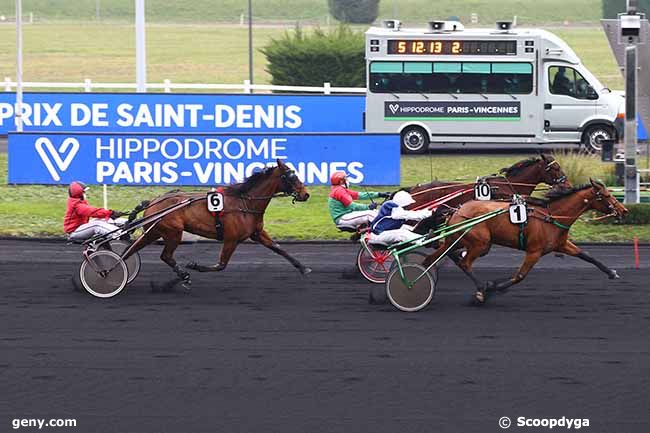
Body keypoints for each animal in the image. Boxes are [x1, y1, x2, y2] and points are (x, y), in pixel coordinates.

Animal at [124, 159, 314, 286]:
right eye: (291, 177)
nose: (305, 194)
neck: (245, 203)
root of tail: (152, 202)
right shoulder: (231, 238)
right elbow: (221, 265)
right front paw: (195, 266)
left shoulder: (257, 233)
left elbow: (278, 248)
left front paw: (303, 268)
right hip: (173, 232)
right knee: (166, 256)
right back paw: (183, 274)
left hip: (154, 232)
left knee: (131, 250)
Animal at [420, 178, 628, 304]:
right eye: (607, 196)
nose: (624, 210)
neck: (551, 216)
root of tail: (455, 210)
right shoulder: (534, 251)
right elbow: (520, 276)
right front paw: (494, 287)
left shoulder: (561, 244)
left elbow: (587, 256)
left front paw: (612, 272)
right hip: (481, 243)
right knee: (464, 262)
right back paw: (480, 290)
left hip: (457, 240)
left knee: (433, 258)